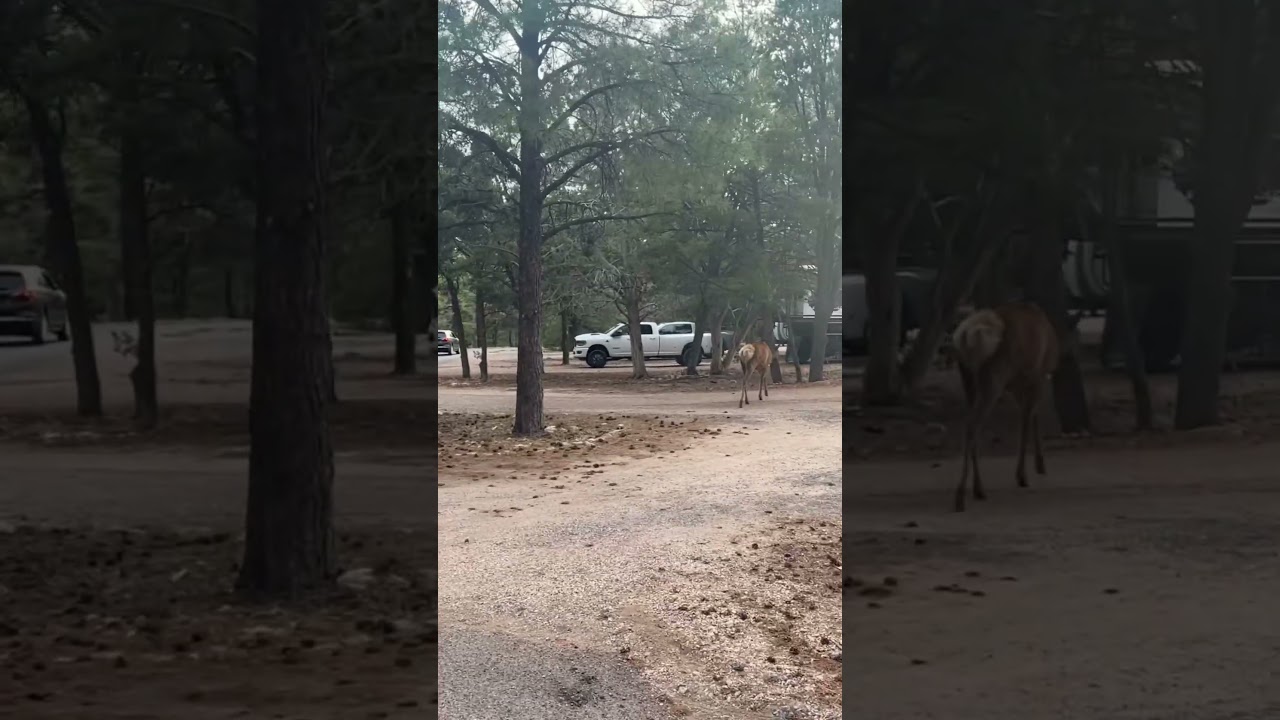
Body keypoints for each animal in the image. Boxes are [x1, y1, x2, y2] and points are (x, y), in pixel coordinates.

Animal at [950, 301, 1074, 512]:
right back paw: (961, 496)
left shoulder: (1020, 384)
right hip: (994, 377)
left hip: (969, 379)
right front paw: (1023, 474)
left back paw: (978, 489)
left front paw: (1039, 465)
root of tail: (966, 336)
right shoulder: (1037, 375)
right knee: (972, 425)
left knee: (972, 425)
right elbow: (1027, 421)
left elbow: (1030, 415)